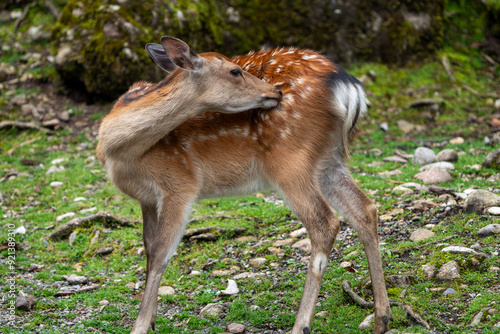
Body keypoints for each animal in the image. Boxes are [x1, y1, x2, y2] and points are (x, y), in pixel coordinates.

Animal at [96, 36, 390, 334]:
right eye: (235, 71)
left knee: (325, 222)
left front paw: (141, 325)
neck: (122, 152)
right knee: (364, 209)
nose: (275, 91)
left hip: (290, 160)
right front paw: (153, 318)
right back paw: (382, 318)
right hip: (328, 159)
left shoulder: (179, 183)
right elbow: (147, 248)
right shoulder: (145, 198)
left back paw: (301, 325)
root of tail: (348, 87)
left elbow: (159, 254)